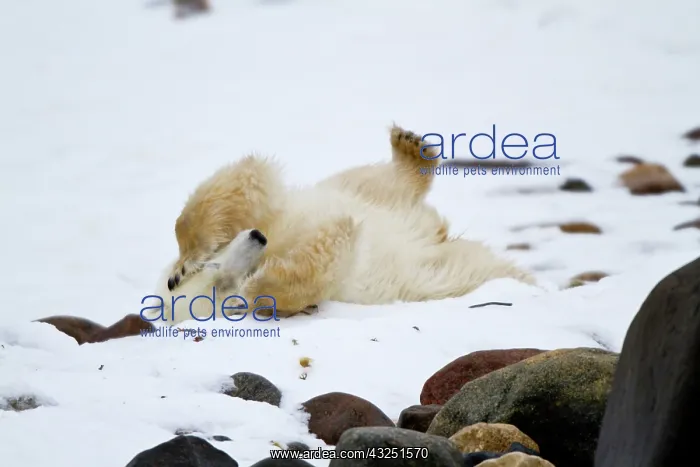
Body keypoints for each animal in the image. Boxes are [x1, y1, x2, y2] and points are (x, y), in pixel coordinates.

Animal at [148, 124, 535, 323]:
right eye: (222, 286)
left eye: (215, 268)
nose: (259, 238)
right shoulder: (335, 275)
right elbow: (322, 259)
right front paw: (264, 286)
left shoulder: (278, 215)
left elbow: (240, 183)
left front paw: (183, 265)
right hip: (454, 267)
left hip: (353, 187)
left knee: (378, 180)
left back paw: (409, 146)